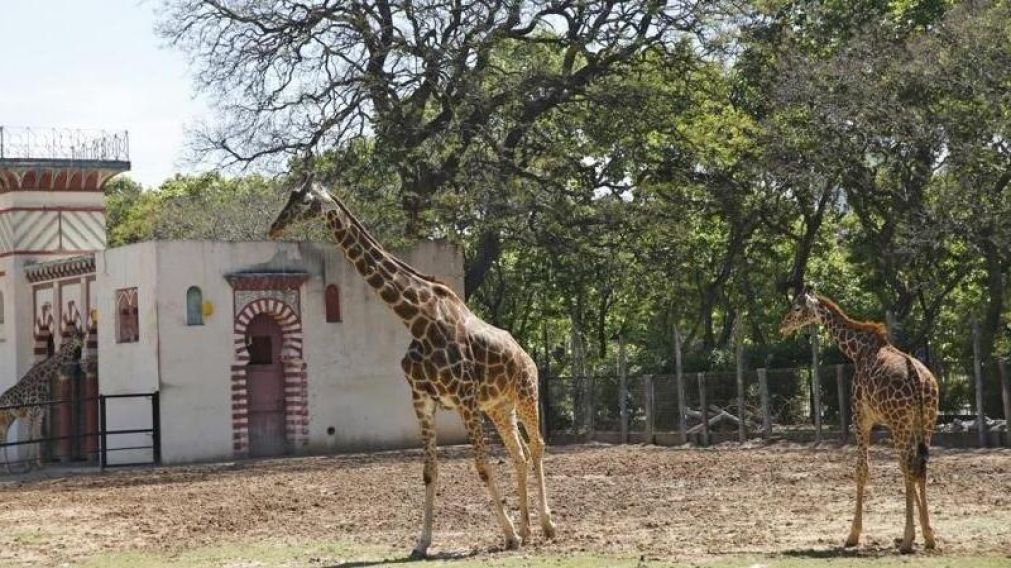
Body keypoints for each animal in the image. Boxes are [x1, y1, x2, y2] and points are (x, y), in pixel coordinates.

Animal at [1, 318, 86, 470]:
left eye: (83, 336)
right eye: (75, 337)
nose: (82, 344)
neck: (43, 378)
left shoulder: (40, 412)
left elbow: (38, 436)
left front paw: (39, 464)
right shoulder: (30, 412)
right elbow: (29, 437)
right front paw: (27, 464)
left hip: (10, 417)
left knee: (3, 437)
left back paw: (8, 467)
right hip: (6, 416)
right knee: (3, 437)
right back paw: (8, 467)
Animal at [268, 179, 555, 558]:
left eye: (302, 200)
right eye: (289, 195)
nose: (274, 227)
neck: (418, 321)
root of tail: (527, 355)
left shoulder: (464, 399)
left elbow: (481, 466)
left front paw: (508, 535)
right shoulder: (422, 401)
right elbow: (429, 472)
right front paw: (422, 542)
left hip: (526, 394)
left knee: (536, 445)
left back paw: (547, 527)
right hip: (498, 407)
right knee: (518, 454)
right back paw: (527, 528)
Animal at [779, 289, 939, 553]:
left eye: (797, 308)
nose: (782, 327)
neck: (856, 350)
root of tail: (918, 379)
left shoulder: (861, 417)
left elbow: (862, 469)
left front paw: (852, 535)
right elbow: (904, 468)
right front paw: (927, 533)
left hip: (900, 423)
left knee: (910, 466)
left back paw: (906, 540)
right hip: (927, 421)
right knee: (919, 467)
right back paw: (926, 538)